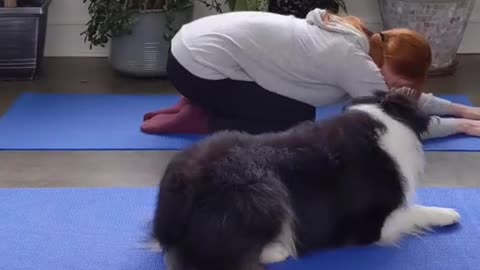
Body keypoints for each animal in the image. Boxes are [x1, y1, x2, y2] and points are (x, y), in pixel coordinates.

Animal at [152, 90, 460, 270]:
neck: (383, 118)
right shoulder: (370, 226)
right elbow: (412, 211)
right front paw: (448, 213)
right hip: (263, 189)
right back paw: (278, 249)